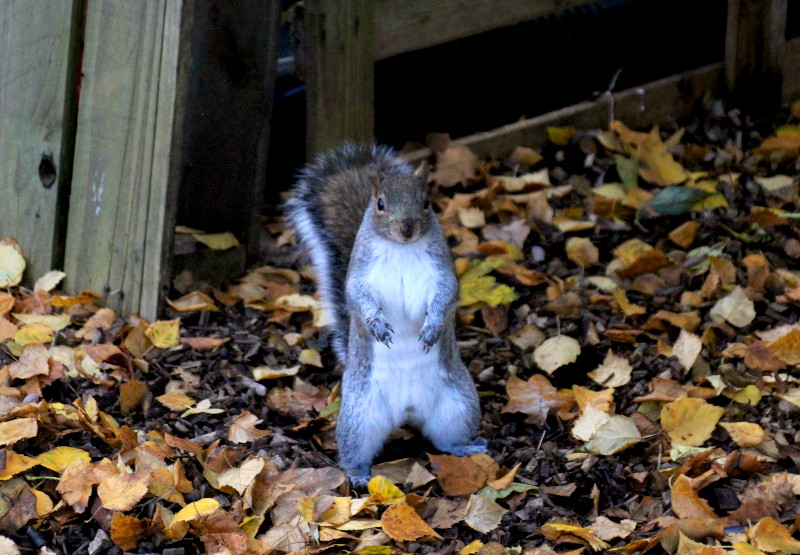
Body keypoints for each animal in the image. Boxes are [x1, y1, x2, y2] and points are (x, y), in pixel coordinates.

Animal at [288, 144, 488, 486]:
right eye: (380, 204)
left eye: (426, 202)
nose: (406, 229)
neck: (402, 249)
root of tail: (407, 411)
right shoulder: (360, 276)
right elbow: (358, 298)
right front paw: (377, 325)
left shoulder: (441, 273)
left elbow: (445, 297)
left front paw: (433, 328)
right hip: (359, 417)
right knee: (356, 451)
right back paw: (357, 474)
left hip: (458, 404)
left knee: (446, 439)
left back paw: (464, 447)